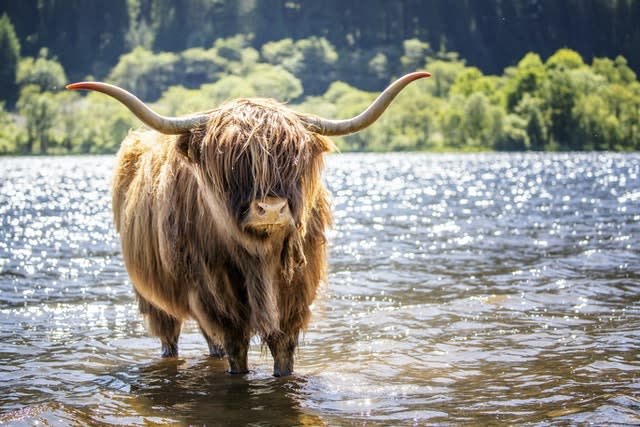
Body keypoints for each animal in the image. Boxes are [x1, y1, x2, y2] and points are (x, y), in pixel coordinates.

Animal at [66, 72, 430, 376]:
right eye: (230, 161)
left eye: (292, 159)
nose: (270, 209)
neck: (260, 258)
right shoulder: (217, 299)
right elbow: (236, 354)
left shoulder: (294, 299)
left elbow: (283, 355)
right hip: (153, 299)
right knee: (169, 336)